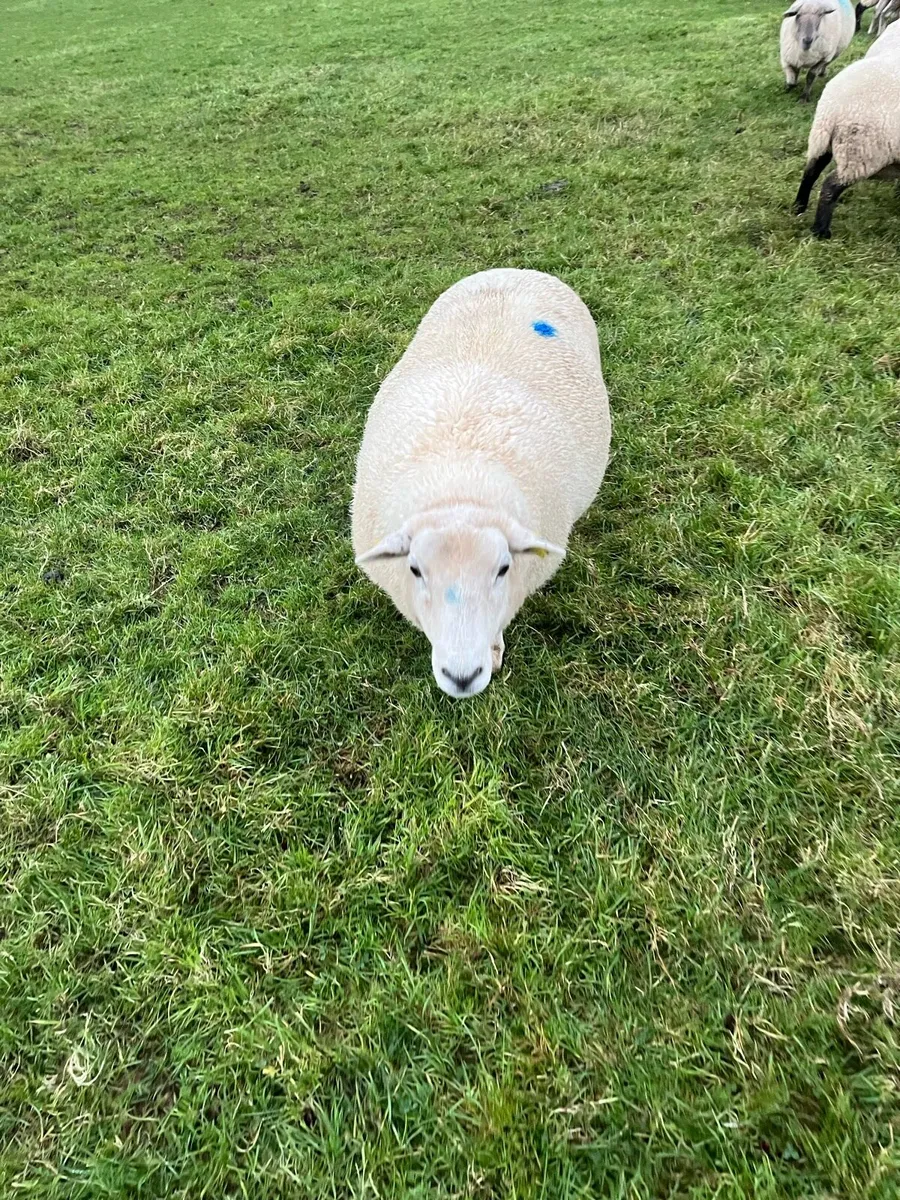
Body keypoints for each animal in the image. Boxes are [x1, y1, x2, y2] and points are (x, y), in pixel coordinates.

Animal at [351, 268, 611, 698]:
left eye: (504, 568)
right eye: (415, 570)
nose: (462, 676)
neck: (460, 489)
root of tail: (518, 270)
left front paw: (493, 651)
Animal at [793, 19, 900, 237]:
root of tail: (832, 107)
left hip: (824, 140)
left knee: (811, 171)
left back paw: (799, 207)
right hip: (861, 151)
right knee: (830, 186)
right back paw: (821, 232)